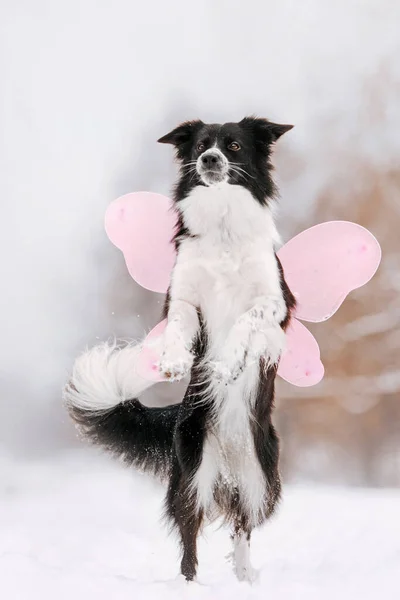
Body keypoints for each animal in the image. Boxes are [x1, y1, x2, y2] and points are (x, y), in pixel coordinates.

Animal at [65, 116, 296, 580]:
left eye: (234, 145)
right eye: (201, 144)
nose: (209, 159)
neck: (223, 221)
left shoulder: (275, 303)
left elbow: (246, 319)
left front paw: (227, 364)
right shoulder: (184, 297)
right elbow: (177, 325)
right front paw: (174, 360)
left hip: (260, 480)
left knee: (243, 526)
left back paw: (245, 577)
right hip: (192, 473)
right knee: (190, 538)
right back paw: (189, 584)